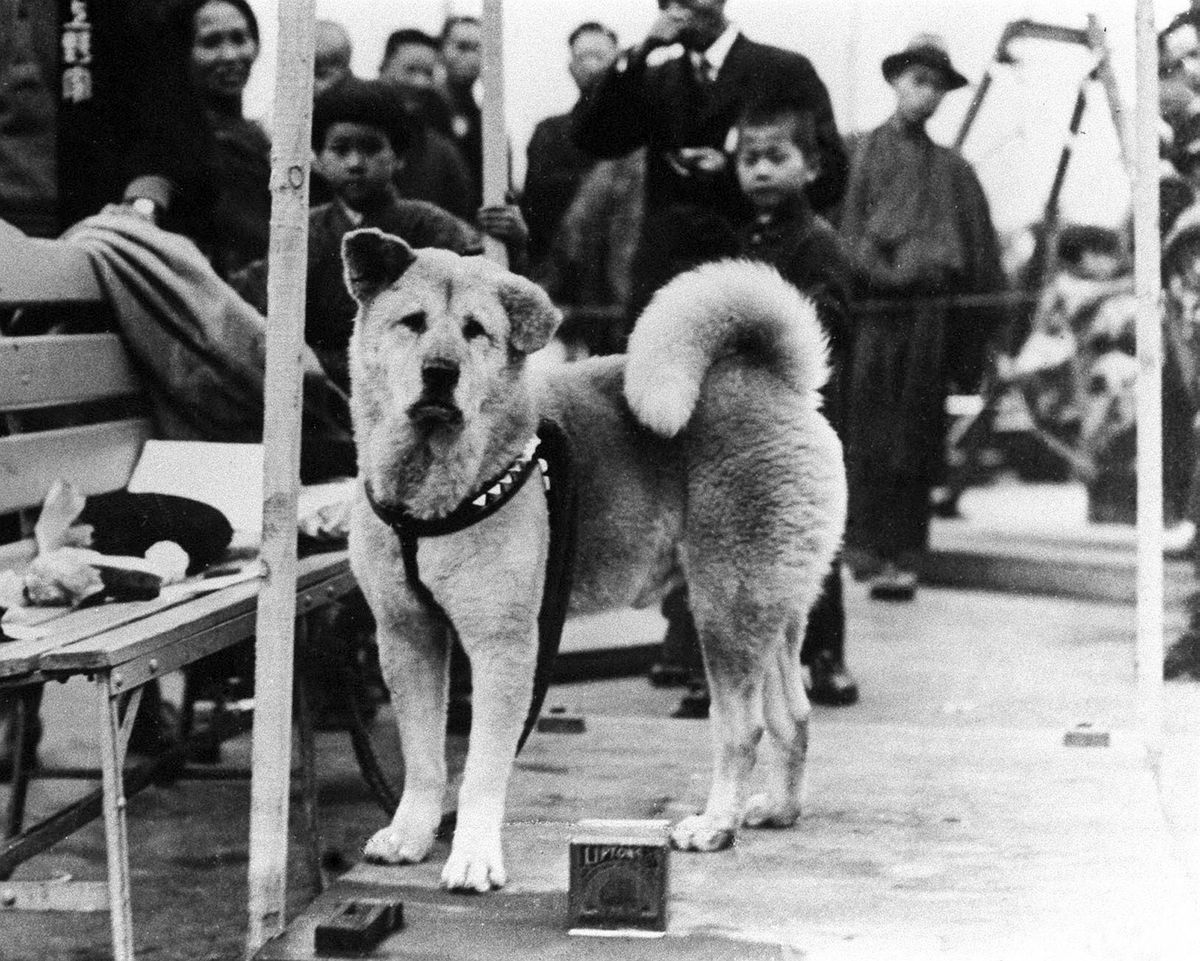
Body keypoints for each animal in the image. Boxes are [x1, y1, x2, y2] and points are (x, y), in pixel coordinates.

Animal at [343, 230, 849, 892]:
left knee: (743, 729)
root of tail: (776, 382)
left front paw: (473, 855)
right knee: (793, 716)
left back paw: (714, 825)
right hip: (772, 609)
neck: (431, 494)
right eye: (413, 322)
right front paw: (410, 834)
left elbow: (481, 767)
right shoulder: (407, 635)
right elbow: (424, 758)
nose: (440, 372)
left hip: (725, 608)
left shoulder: (504, 645)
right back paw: (778, 810)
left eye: (477, 330)